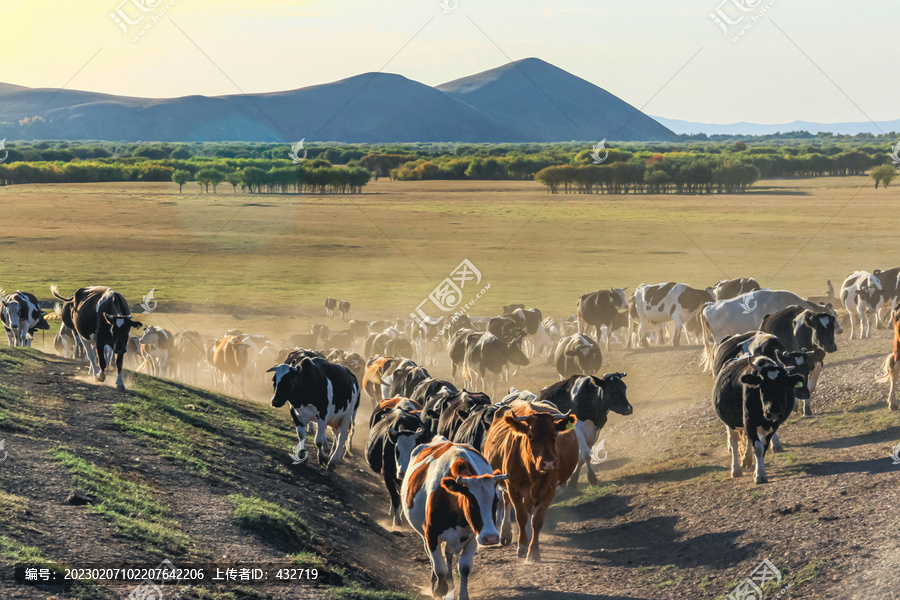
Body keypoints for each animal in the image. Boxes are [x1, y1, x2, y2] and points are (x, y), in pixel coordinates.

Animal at [400, 436, 506, 600]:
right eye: (471, 503)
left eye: (495, 501)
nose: (491, 538)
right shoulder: (431, 535)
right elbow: (439, 568)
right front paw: (440, 588)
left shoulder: (474, 536)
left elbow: (464, 568)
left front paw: (462, 594)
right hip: (424, 535)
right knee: (433, 559)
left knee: (448, 556)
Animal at [486, 398, 576, 564]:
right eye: (531, 436)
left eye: (554, 435)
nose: (548, 463)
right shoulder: (513, 487)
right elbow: (521, 516)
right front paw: (522, 547)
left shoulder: (549, 489)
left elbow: (537, 520)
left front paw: (533, 551)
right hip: (506, 485)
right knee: (506, 502)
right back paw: (506, 534)